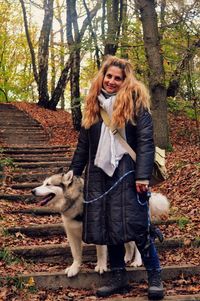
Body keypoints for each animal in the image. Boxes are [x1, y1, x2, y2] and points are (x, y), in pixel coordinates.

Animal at [32, 171, 170, 276]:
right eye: (43, 183)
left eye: (48, 184)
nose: (32, 191)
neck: (77, 202)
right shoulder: (71, 234)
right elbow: (76, 254)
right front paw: (74, 268)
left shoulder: (99, 231)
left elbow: (101, 252)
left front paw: (101, 266)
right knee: (129, 244)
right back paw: (126, 257)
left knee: (138, 245)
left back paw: (137, 261)